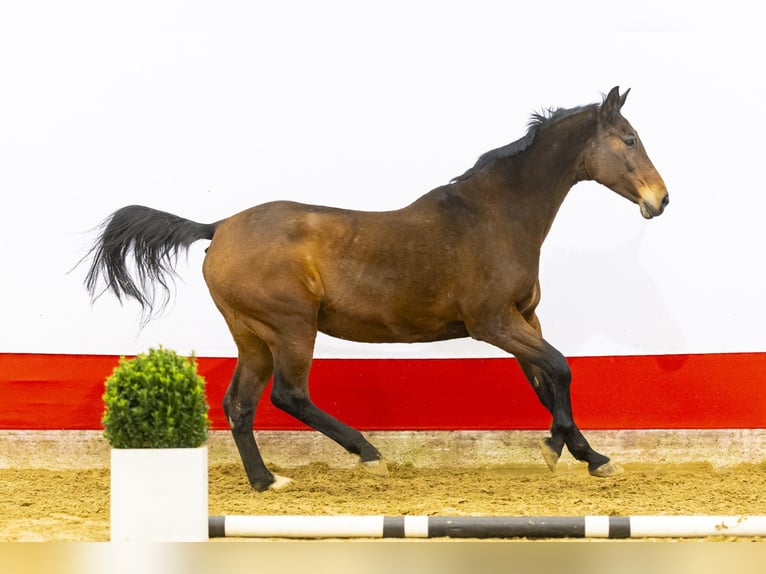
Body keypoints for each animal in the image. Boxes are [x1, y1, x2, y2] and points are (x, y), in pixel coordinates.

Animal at [87, 88, 668, 492]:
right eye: (630, 139)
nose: (660, 200)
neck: (494, 218)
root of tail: (218, 227)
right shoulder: (493, 323)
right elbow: (561, 368)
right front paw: (567, 451)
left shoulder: (524, 318)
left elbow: (546, 381)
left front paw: (585, 455)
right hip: (291, 328)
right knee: (288, 394)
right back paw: (368, 455)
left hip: (253, 338)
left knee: (239, 405)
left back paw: (267, 481)